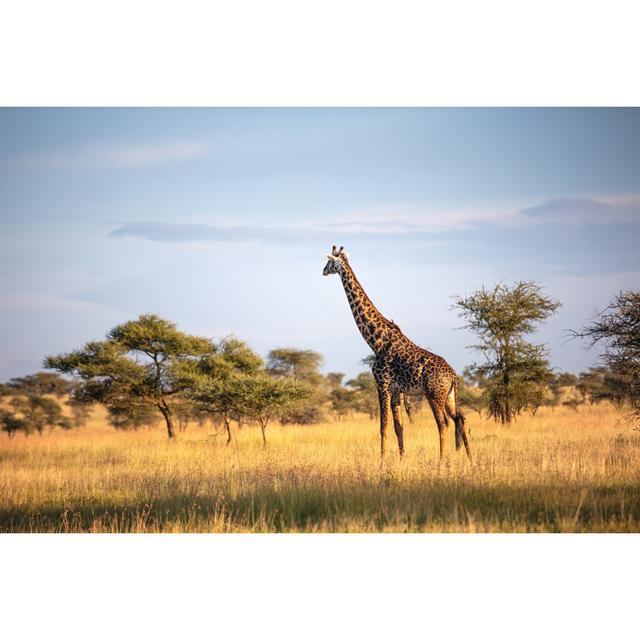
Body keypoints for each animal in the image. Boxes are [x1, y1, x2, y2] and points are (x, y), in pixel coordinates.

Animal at [322, 248, 472, 462]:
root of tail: (453, 377)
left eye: (328, 262)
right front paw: (401, 460)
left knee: (443, 424)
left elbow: (383, 427)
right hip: (450, 396)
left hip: (434, 395)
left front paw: (382, 462)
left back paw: (441, 462)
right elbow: (398, 428)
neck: (376, 341)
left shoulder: (382, 385)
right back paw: (471, 460)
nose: (323, 272)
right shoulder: (395, 391)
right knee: (461, 419)